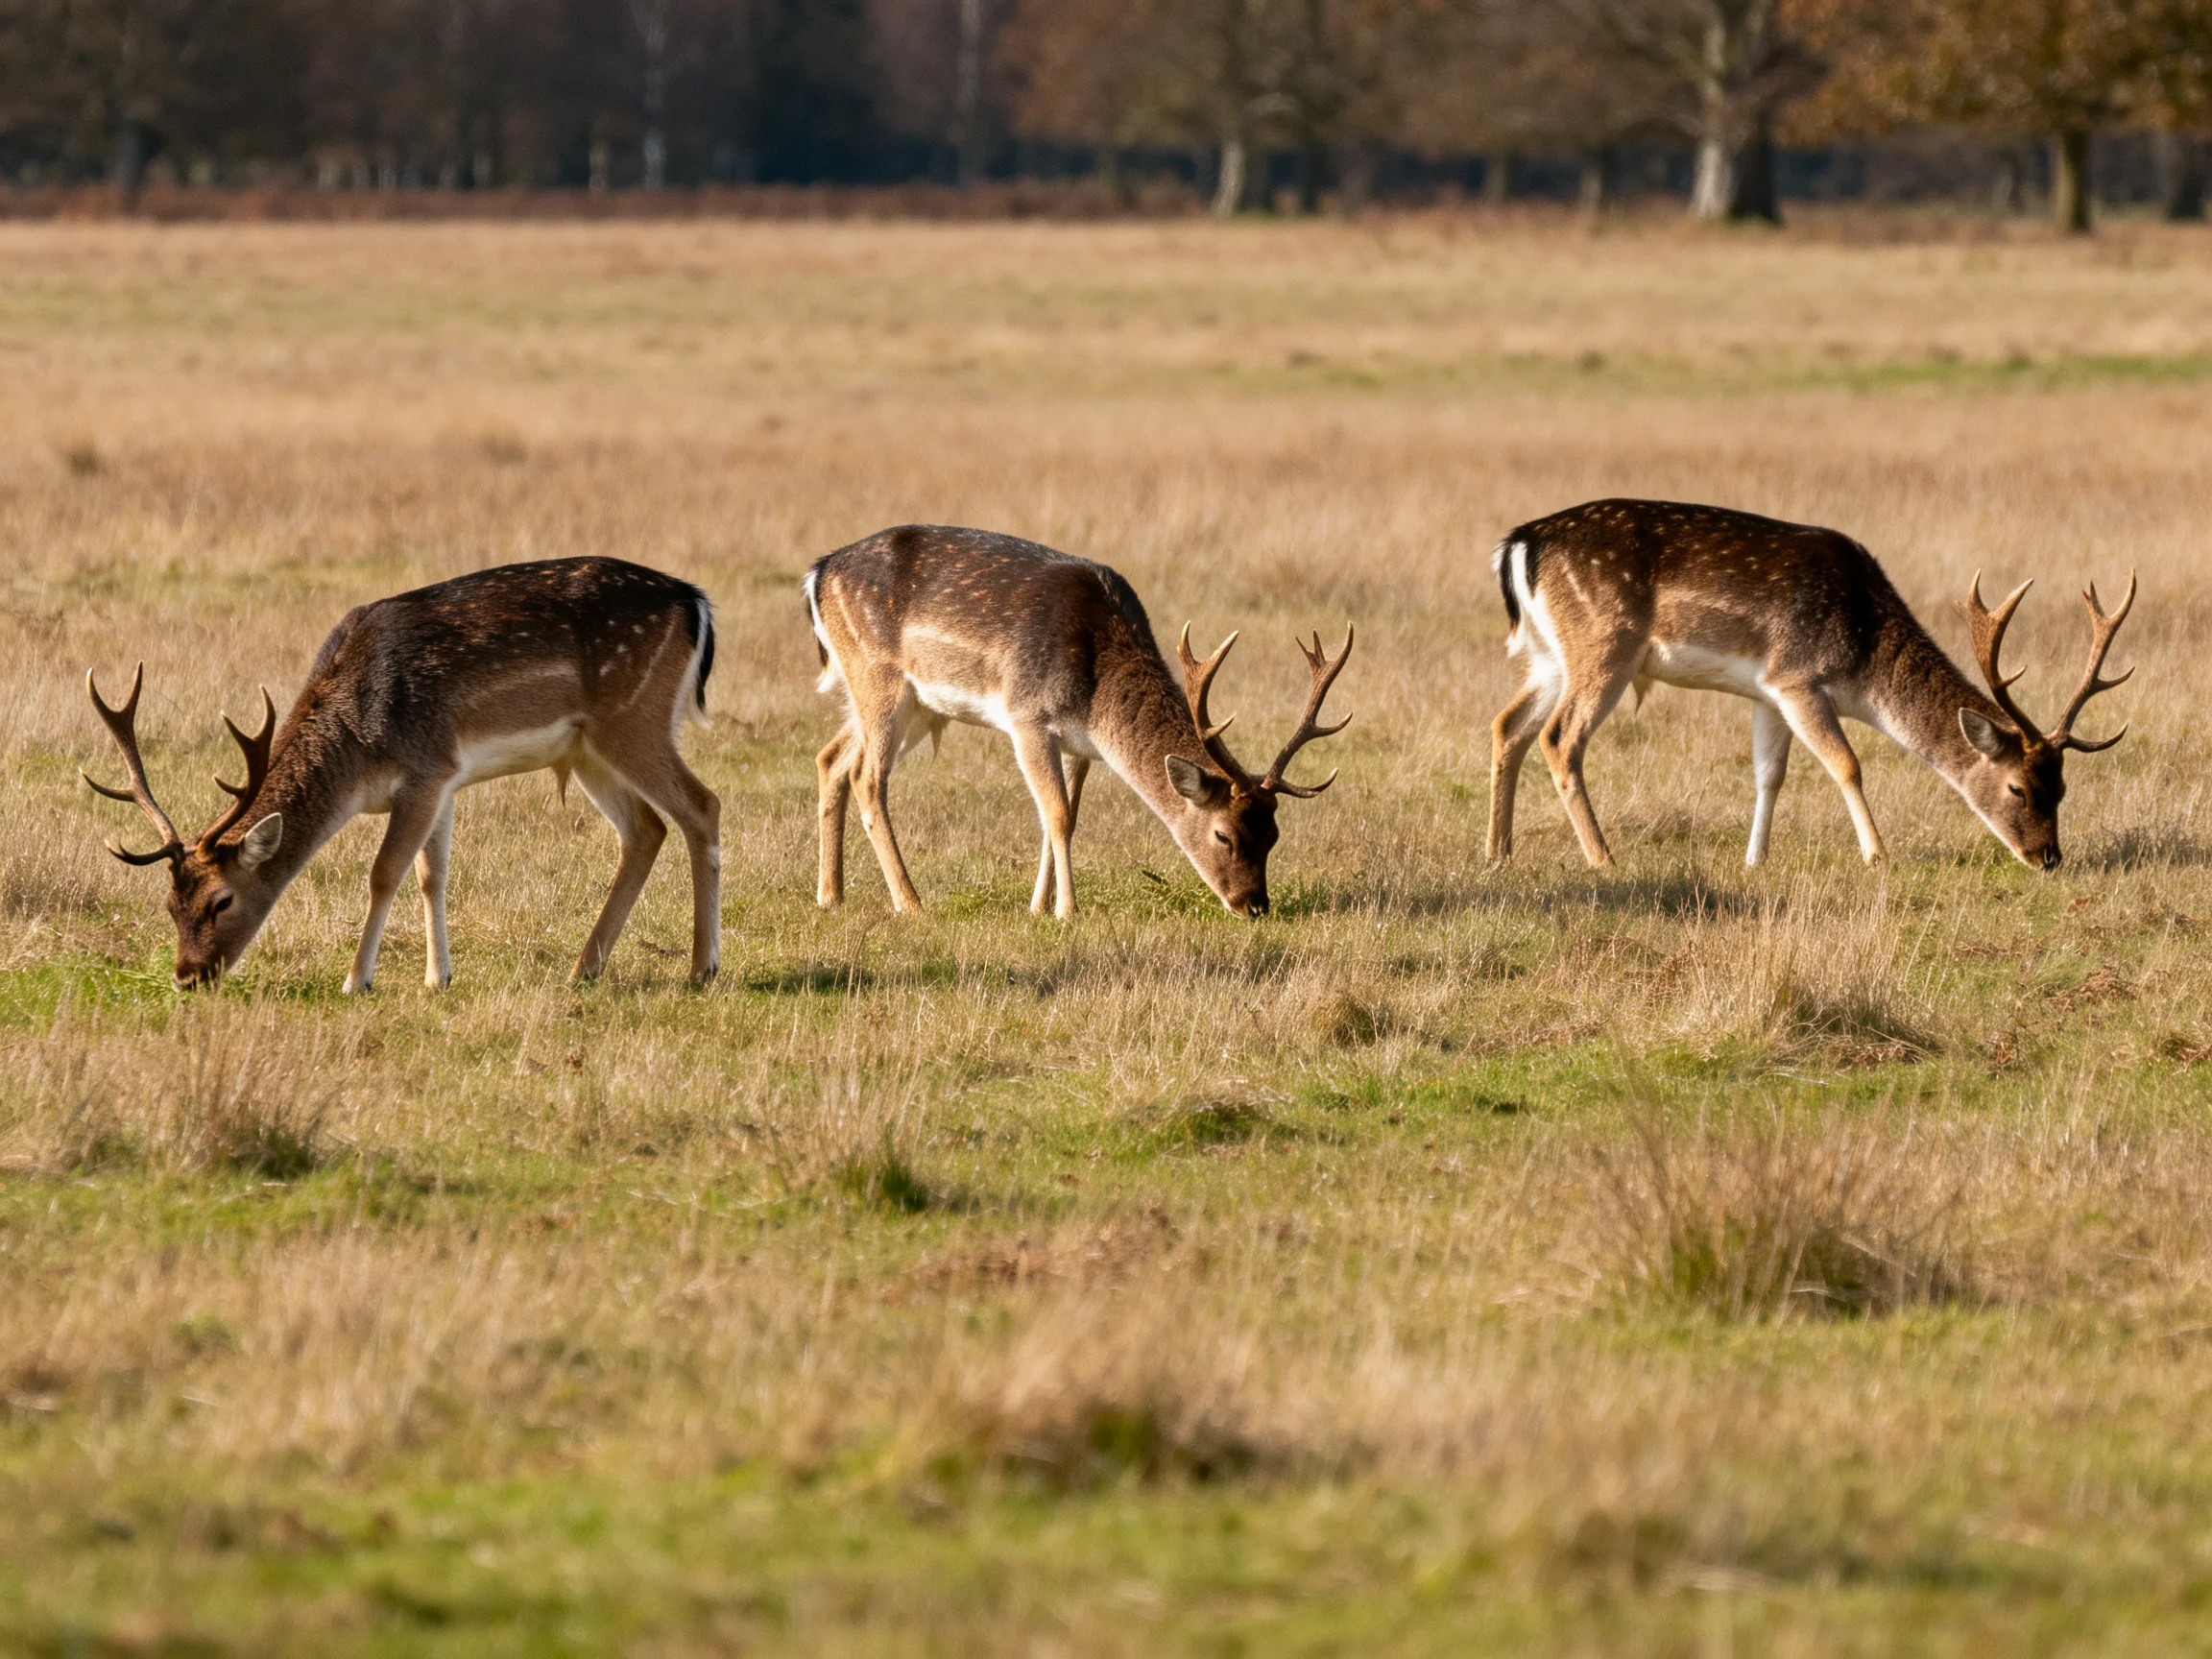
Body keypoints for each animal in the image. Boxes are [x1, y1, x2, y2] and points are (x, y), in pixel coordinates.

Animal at [84, 557, 722, 992]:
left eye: (222, 901)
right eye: (170, 905)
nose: (187, 977)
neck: (358, 752)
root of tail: (695, 602)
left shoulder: (424, 768)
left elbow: (385, 873)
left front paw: (357, 980)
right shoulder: (444, 780)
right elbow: (431, 875)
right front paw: (438, 977)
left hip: (633, 718)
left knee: (702, 806)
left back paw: (702, 967)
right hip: (588, 749)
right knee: (646, 829)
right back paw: (584, 968)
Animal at [805, 525, 1353, 920]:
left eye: (1275, 835)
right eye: (1225, 835)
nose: (1254, 906)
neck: (1095, 699)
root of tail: (818, 572)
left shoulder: (1078, 746)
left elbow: (1065, 814)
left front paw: (1037, 907)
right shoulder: (1027, 716)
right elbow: (1058, 815)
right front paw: (1067, 911)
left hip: (916, 705)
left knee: (831, 758)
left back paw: (830, 895)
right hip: (878, 677)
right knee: (867, 777)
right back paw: (910, 902)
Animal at [1485, 499, 2135, 872]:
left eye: (2064, 789)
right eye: (2018, 788)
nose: (2048, 858)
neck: (1863, 659)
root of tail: (1519, 545)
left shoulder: (1767, 693)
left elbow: (1769, 775)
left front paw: (1755, 860)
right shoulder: (1798, 678)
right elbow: (1847, 764)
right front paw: (1878, 856)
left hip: (1550, 657)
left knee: (1507, 725)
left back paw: (1499, 853)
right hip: (1604, 645)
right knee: (1559, 737)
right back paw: (1604, 860)